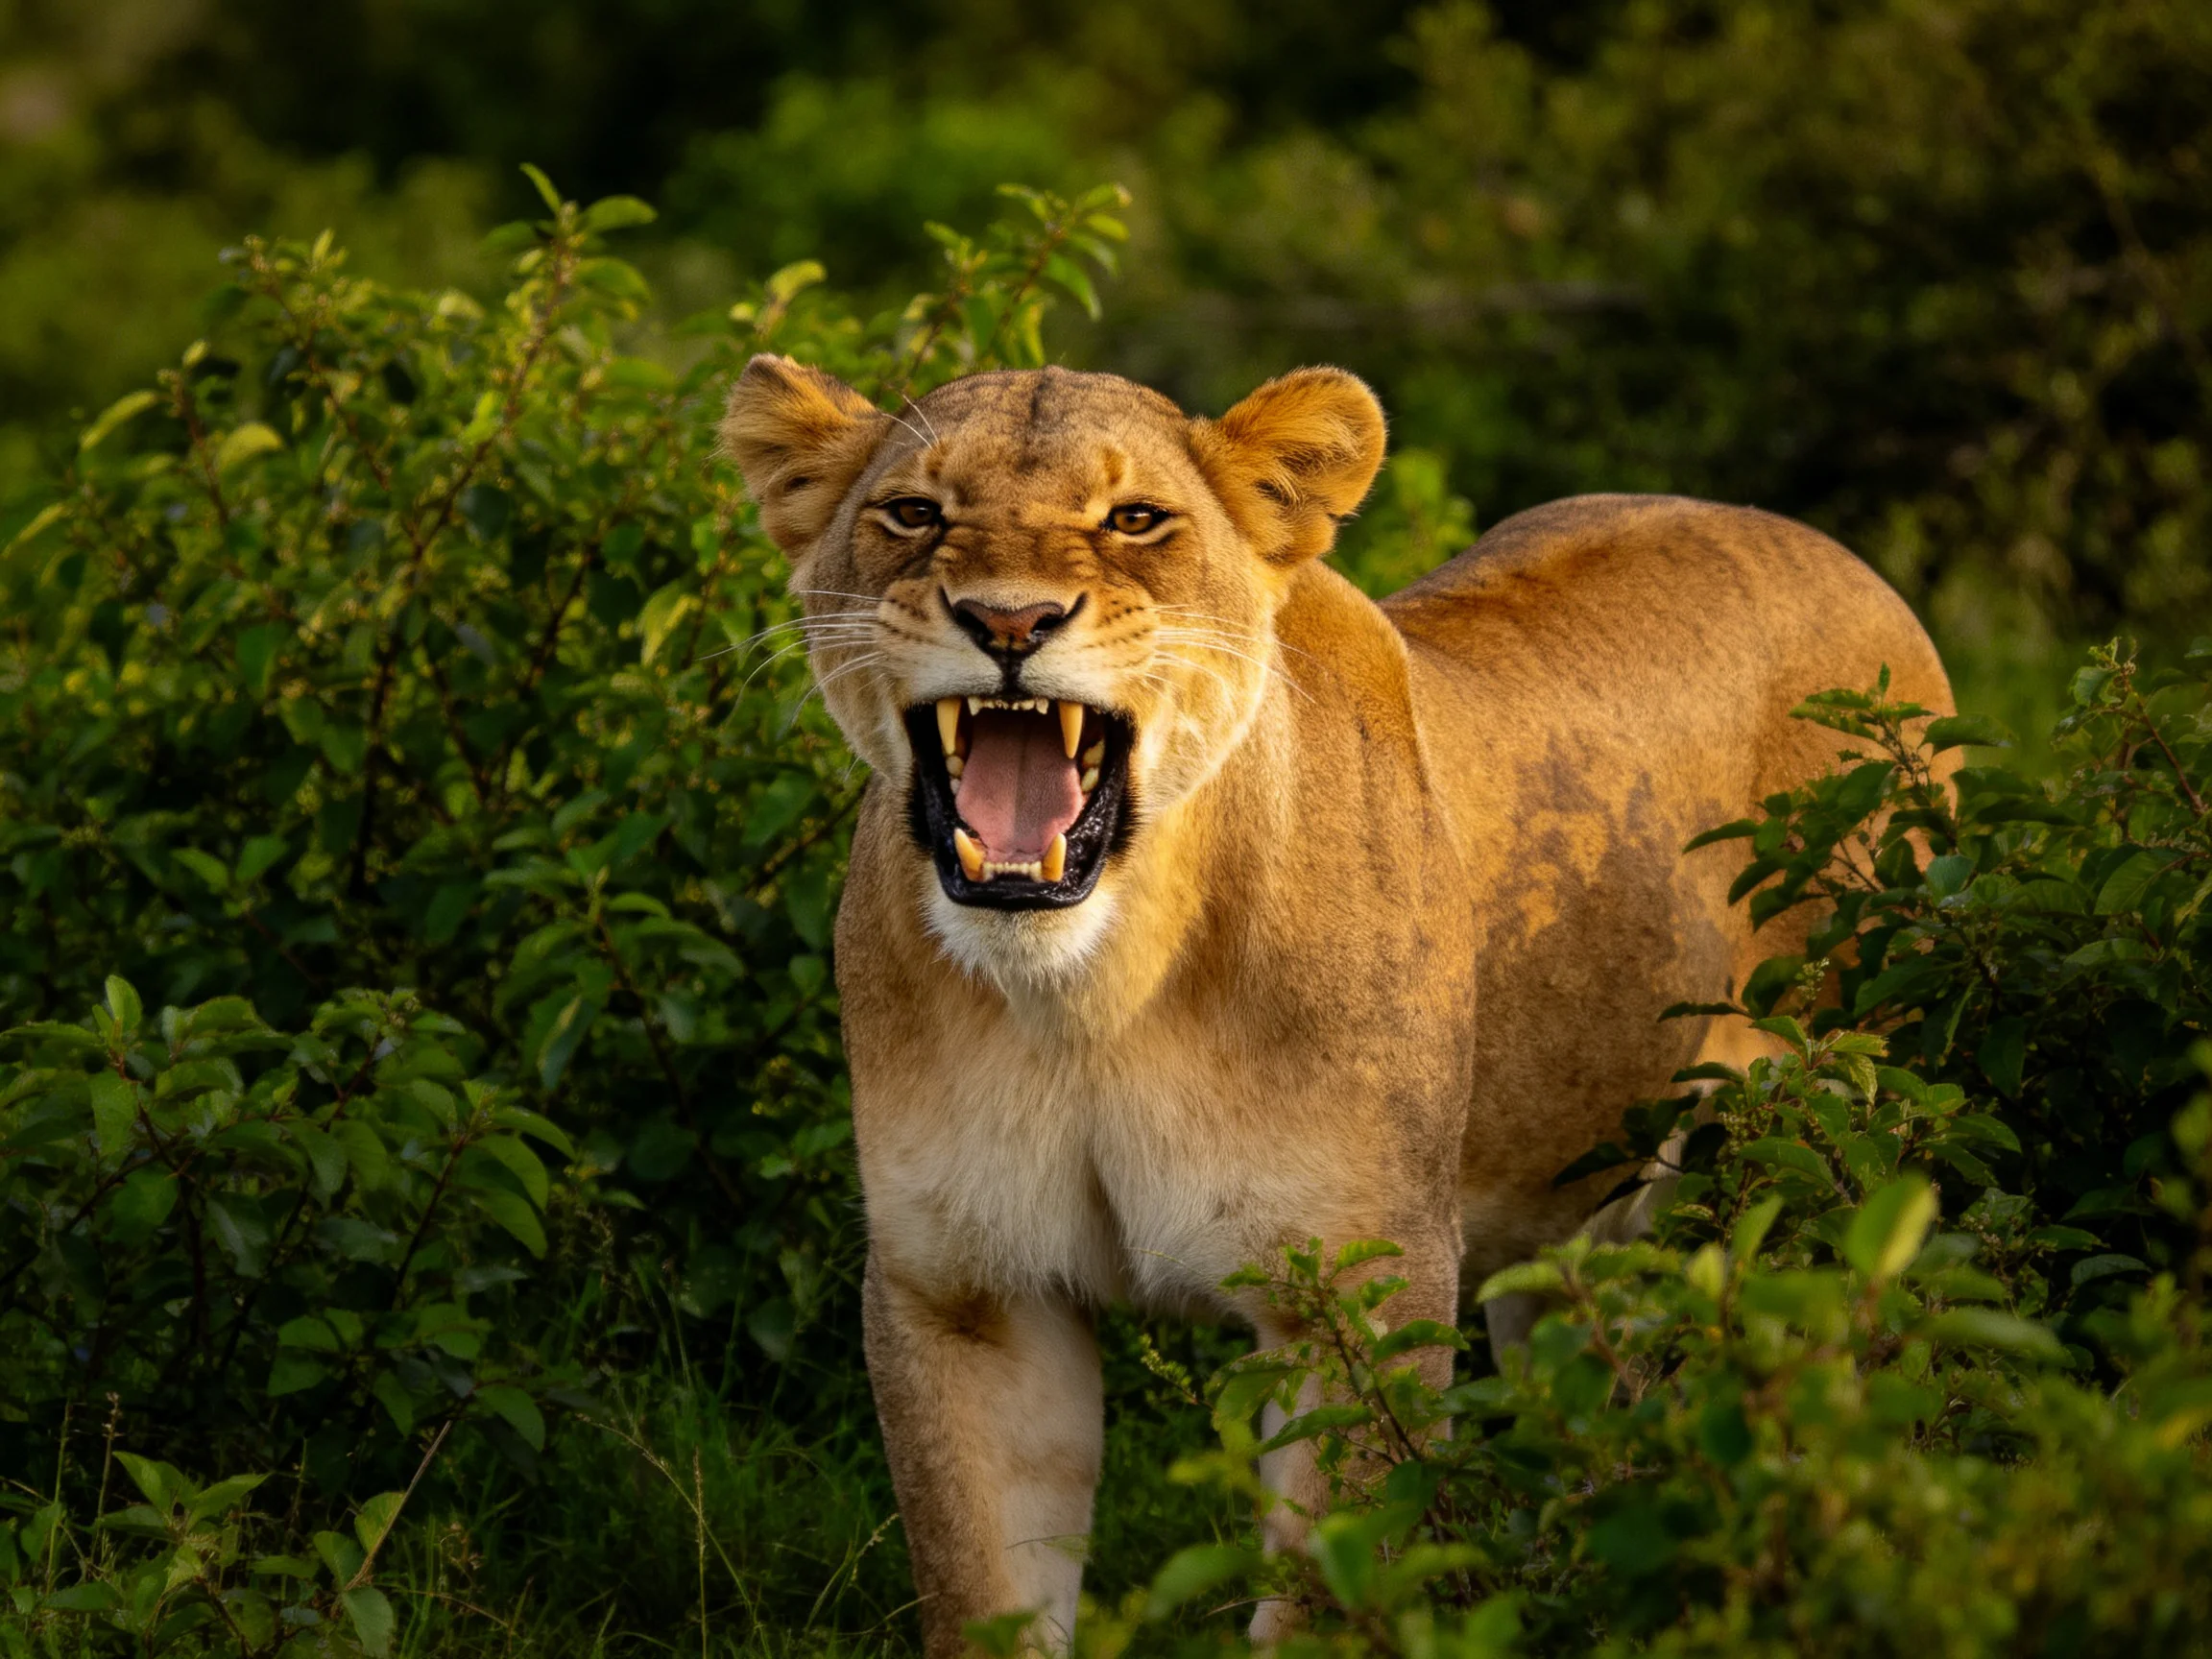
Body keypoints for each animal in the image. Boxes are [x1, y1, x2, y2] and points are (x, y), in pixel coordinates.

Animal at [721, 356, 1950, 1655]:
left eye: (1135, 519)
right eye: (914, 512)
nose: (1009, 622)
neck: (1089, 994)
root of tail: (1844, 556)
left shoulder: (1367, 1284)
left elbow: (1327, 1595)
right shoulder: (968, 1293)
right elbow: (980, 1597)